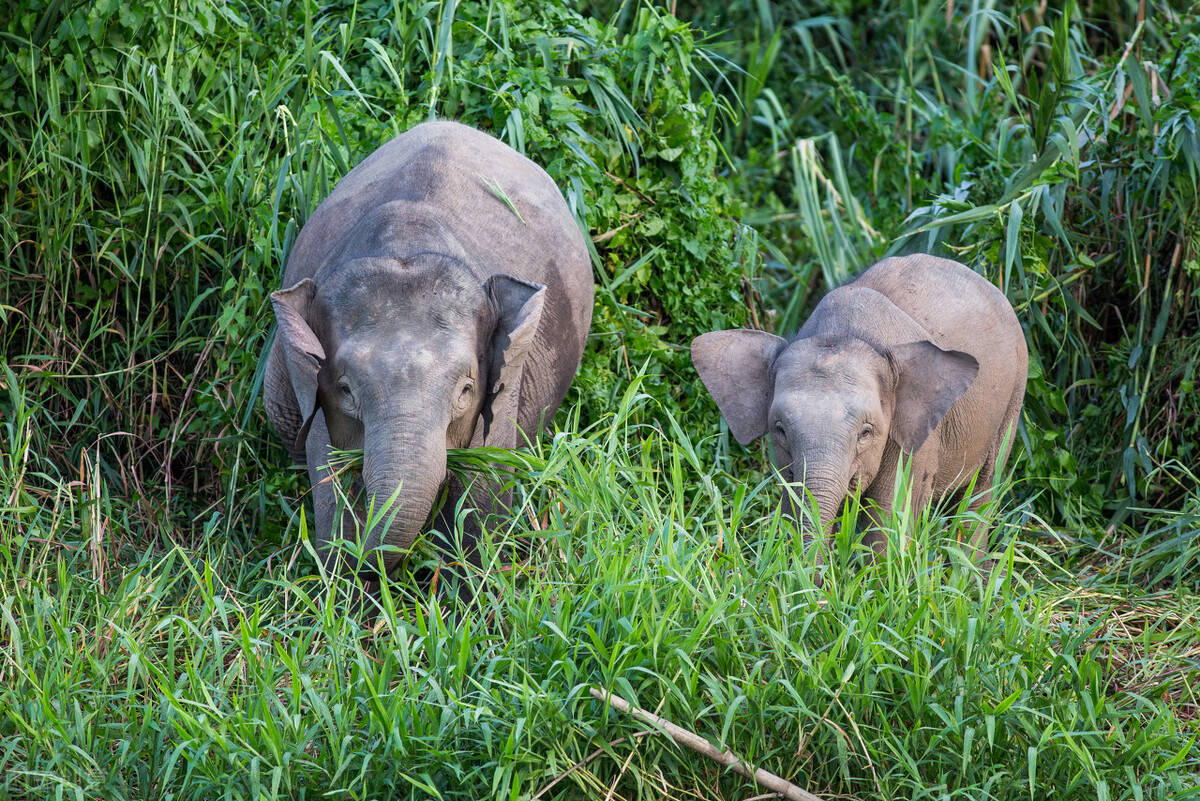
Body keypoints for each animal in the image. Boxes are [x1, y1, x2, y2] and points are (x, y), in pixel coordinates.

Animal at [267, 120, 595, 575]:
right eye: (346, 391)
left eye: (466, 391)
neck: (408, 245)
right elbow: (332, 490)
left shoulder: (507, 385)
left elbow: (483, 497)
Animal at [691, 253, 1027, 553]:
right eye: (780, 430)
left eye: (866, 432)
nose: (821, 582)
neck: (846, 331)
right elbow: (791, 507)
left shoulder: (916, 437)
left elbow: (887, 518)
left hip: (1015, 393)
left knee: (981, 495)